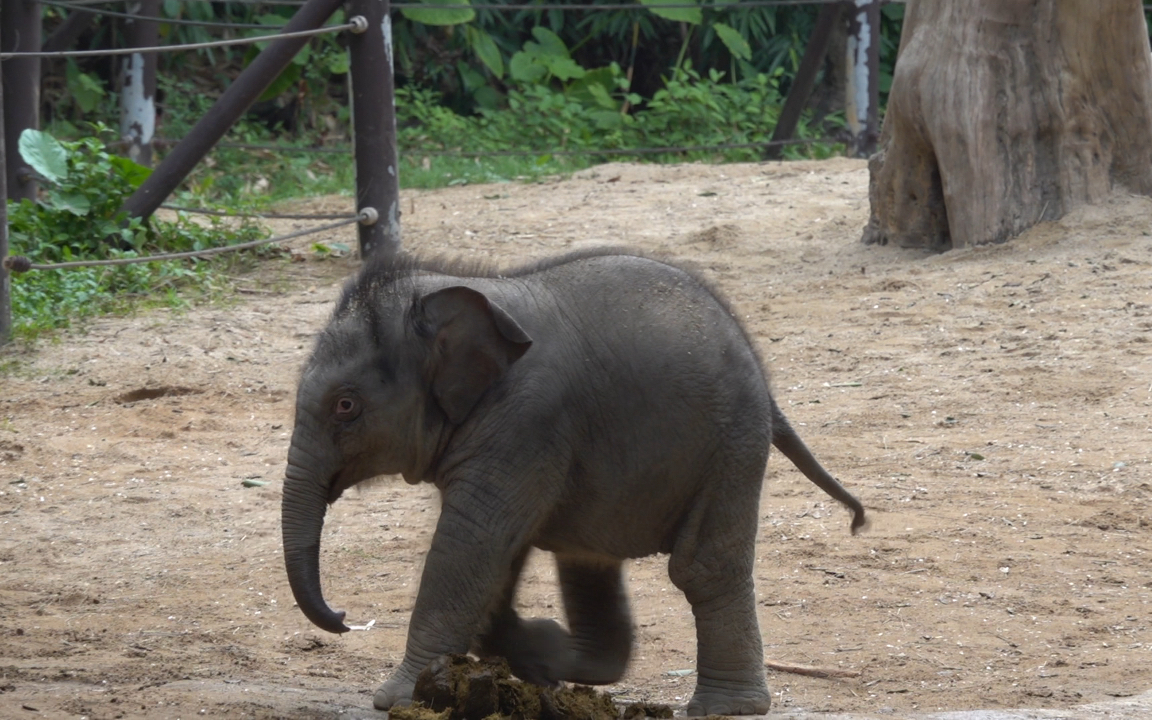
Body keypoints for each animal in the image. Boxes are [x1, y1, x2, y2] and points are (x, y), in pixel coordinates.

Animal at [283, 248, 866, 714]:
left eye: (345, 406)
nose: (343, 617)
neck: (458, 290)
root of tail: (764, 378)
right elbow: (500, 548)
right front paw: (518, 651)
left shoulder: (526, 421)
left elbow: (472, 539)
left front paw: (396, 697)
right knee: (587, 556)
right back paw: (560, 660)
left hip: (732, 444)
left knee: (702, 568)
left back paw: (725, 709)